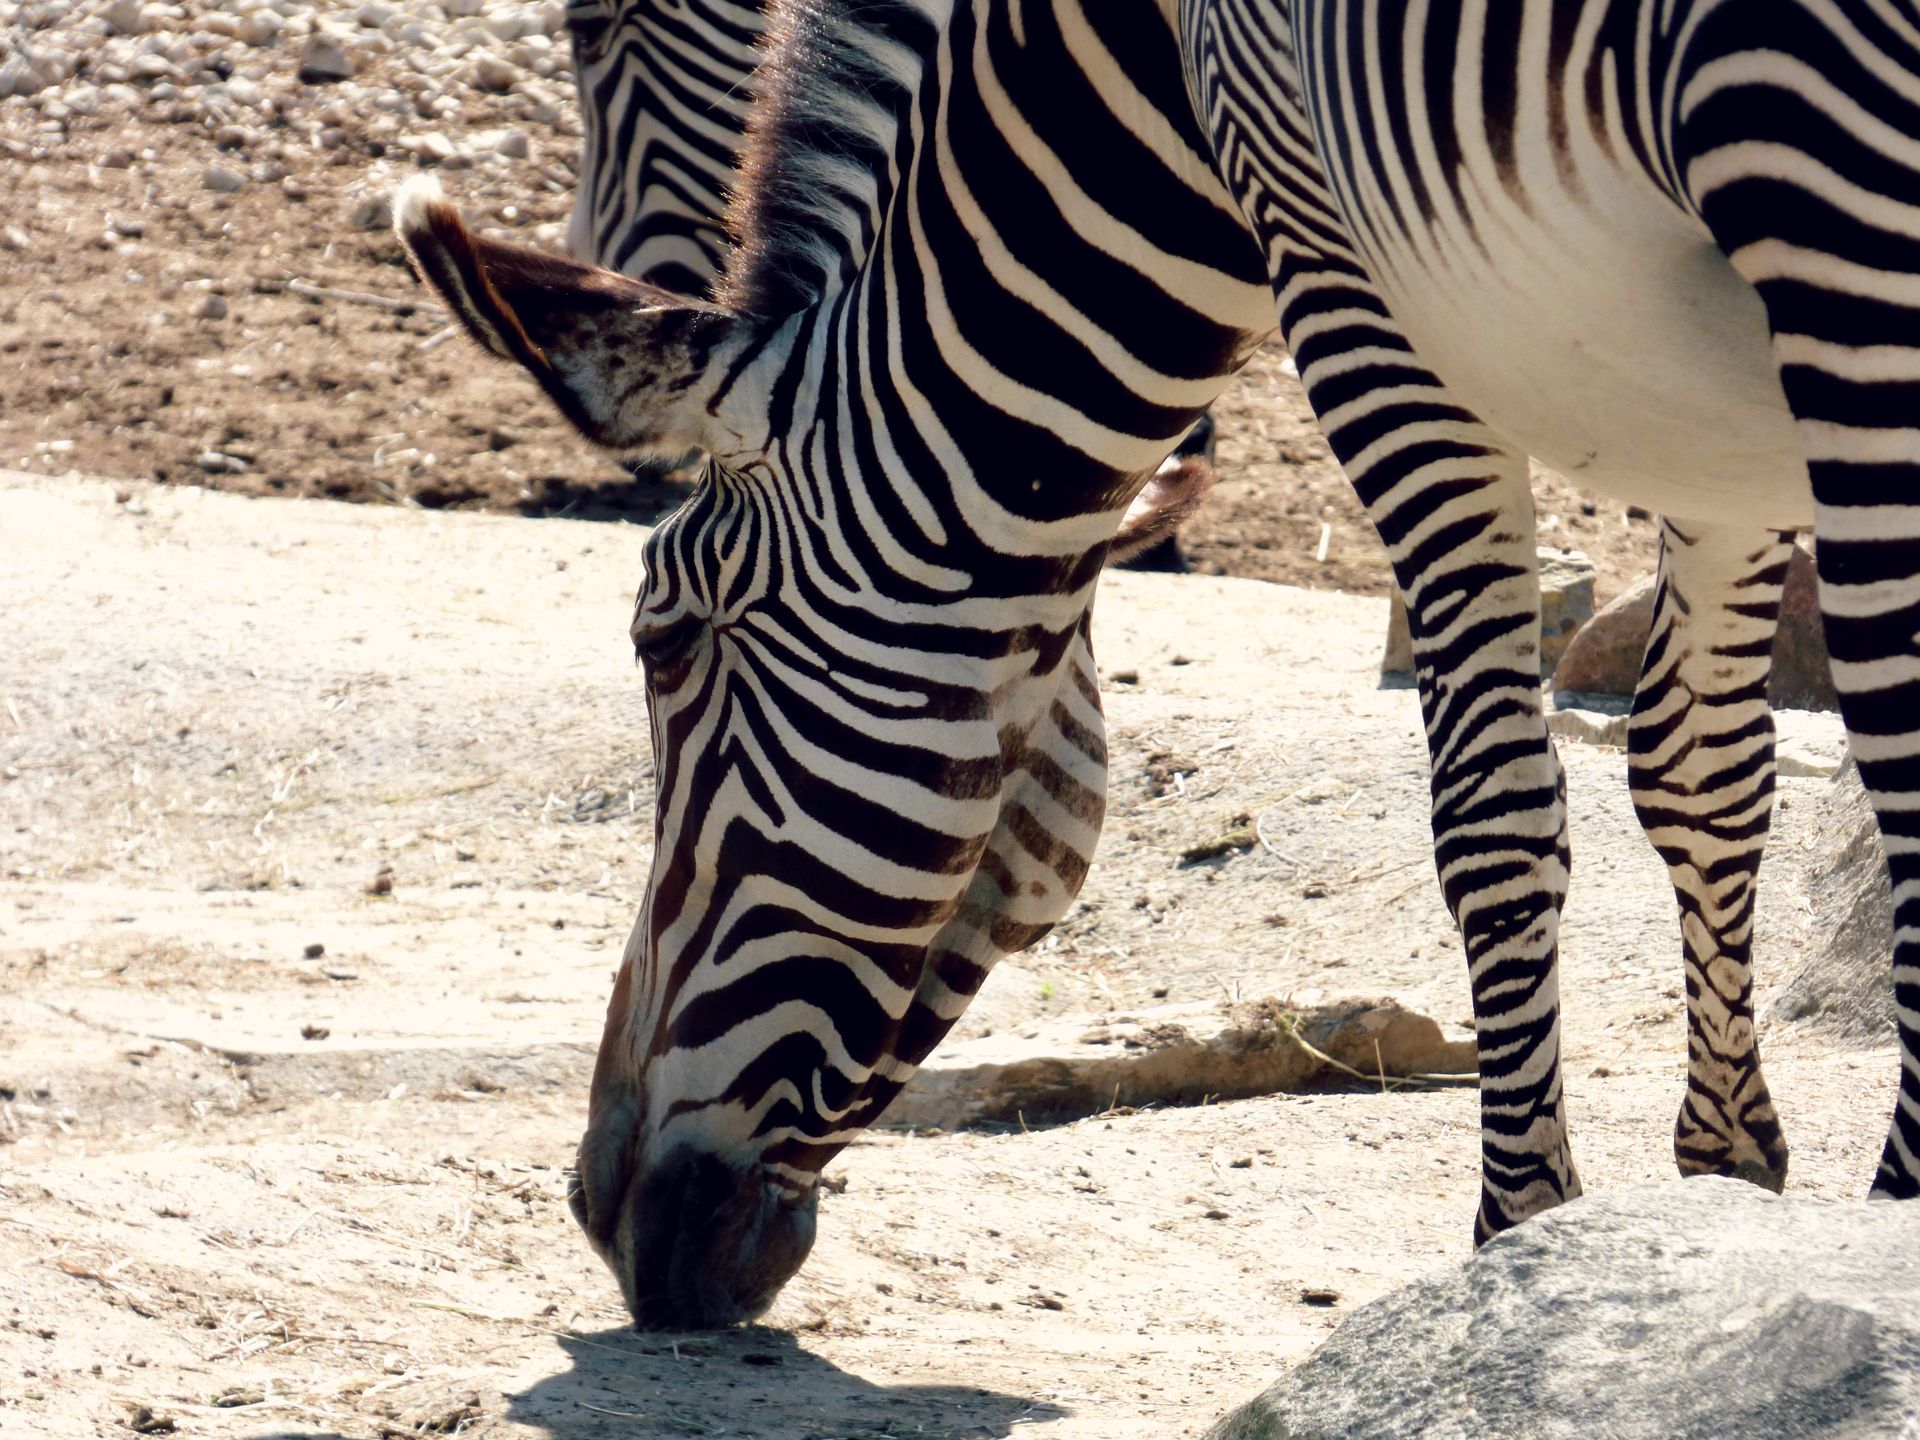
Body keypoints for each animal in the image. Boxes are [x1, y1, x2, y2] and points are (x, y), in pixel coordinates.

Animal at [397, 0, 1920, 1328]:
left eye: (660, 641)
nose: (606, 1222)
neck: (1140, 67)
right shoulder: (1695, 409)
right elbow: (1697, 774)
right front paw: (1724, 1190)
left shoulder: (1351, 278)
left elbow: (1491, 807)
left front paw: (1522, 1237)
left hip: (1832, 186)